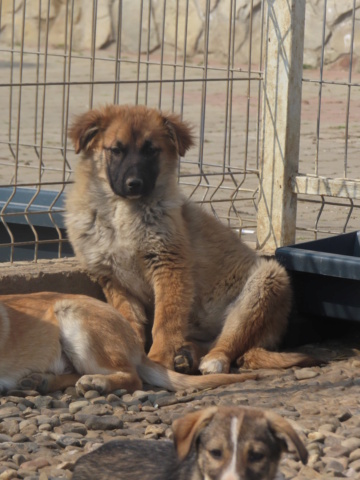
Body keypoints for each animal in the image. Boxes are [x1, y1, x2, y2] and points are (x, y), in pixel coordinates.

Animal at [65, 104, 316, 376]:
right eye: (116, 150)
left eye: (151, 150)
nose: (134, 184)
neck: (121, 212)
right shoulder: (114, 281)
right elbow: (130, 320)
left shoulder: (169, 266)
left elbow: (165, 321)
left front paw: (158, 359)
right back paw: (186, 356)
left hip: (263, 285)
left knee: (229, 342)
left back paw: (212, 360)